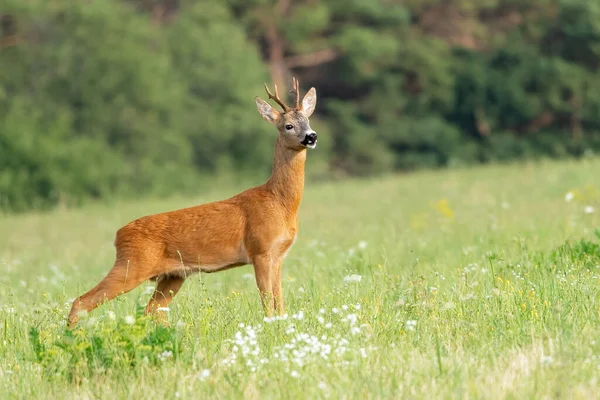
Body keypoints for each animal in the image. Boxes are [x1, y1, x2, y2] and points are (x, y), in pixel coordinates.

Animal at [67, 77, 316, 324]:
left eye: (307, 120)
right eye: (288, 126)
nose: (311, 136)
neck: (280, 203)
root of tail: (119, 235)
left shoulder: (278, 255)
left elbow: (280, 303)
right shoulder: (260, 250)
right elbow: (268, 305)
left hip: (172, 275)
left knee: (152, 310)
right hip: (132, 265)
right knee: (81, 302)